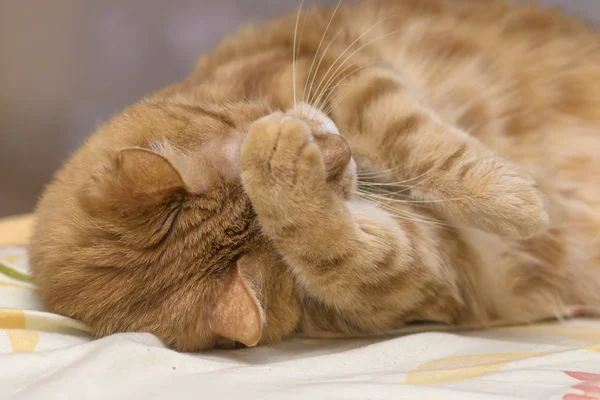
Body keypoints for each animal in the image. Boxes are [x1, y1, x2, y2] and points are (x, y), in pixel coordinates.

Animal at [27, 0, 600, 350]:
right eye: (278, 258)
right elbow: (343, 253)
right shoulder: (439, 270)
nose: (341, 149)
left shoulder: (332, 68)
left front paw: (516, 201)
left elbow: (415, 138)